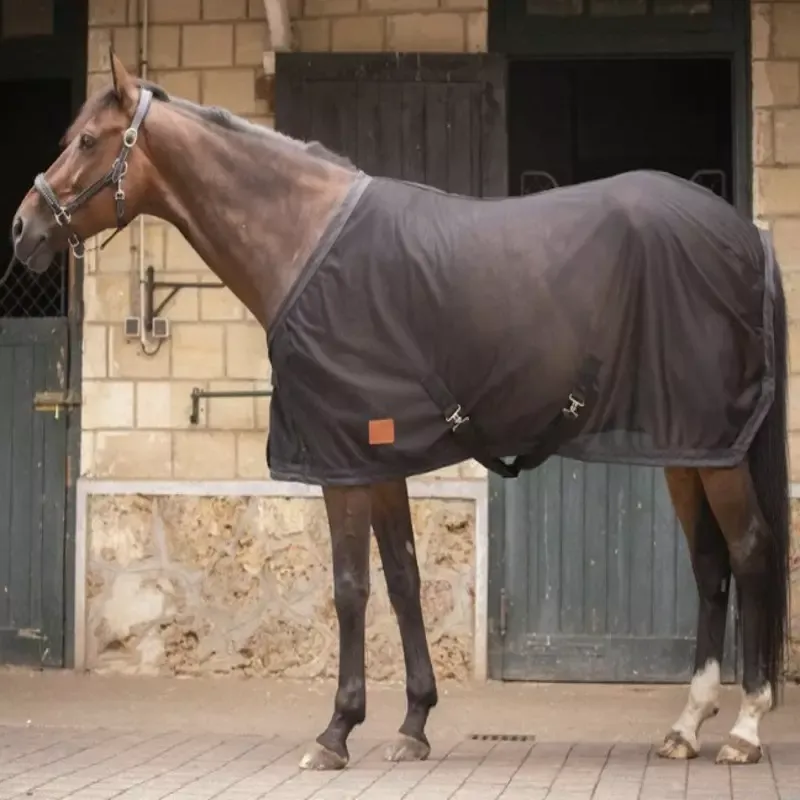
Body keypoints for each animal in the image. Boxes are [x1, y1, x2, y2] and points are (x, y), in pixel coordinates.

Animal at [10, 51, 790, 770]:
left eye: (87, 140)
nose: (23, 228)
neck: (306, 242)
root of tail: (746, 235)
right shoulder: (378, 458)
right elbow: (405, 579)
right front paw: (414, 722)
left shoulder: (343, 464)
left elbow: (351, 588)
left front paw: (336, 730)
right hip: (687, 448)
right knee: (709, 563)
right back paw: (686, 727)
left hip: (712, 450)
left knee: (750, 549)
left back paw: (747, 728)